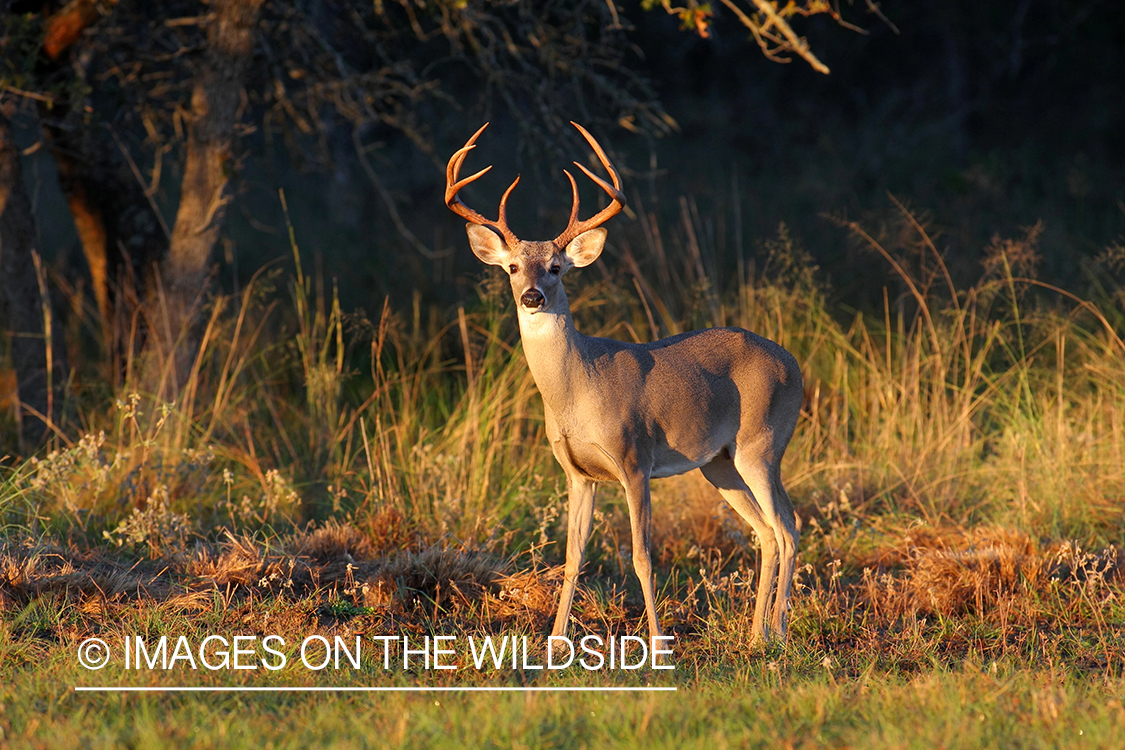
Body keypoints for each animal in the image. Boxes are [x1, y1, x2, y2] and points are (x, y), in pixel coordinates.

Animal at [443, 123, 805, 647]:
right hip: (719, 462)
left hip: (763, 443)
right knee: (765, 532)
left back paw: (776, 631)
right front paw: (554, 642)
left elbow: (641, 557)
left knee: (788, 526)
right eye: (512, 267)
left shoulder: (635, 459)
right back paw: (756, 634)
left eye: (556, 267)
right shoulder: (577, 472)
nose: (532, 296)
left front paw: (657, 644)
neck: (577, 391)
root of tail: (794, 364)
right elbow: (573, 558)